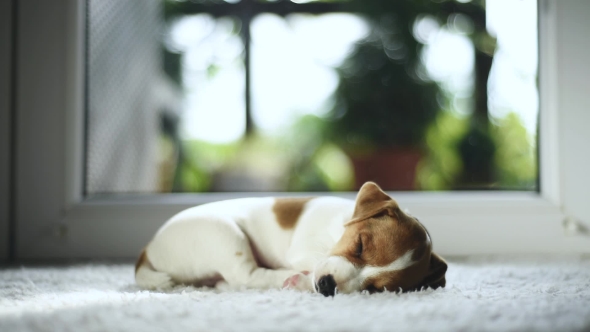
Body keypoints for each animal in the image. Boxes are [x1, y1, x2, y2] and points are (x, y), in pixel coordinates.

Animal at [135, 182, 448, 296]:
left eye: (374, 289)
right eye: (360, 246)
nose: (326, 286)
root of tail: (147, 250)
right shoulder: (305, 251)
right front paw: (303, 279)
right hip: (224, 233)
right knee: (245, 276)